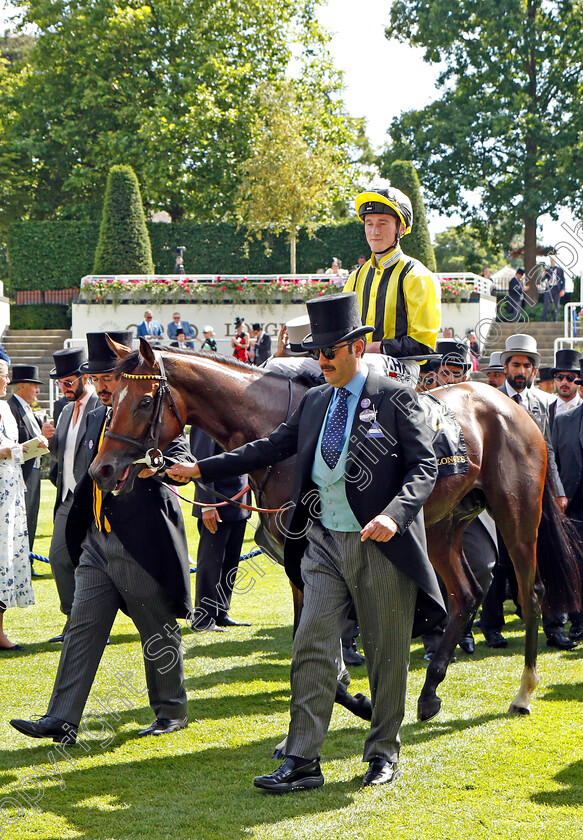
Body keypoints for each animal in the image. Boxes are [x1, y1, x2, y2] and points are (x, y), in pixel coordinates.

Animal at [89, 340, 580, 720]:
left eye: (145, 401)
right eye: (110, 401)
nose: (102, 469)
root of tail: (512, 407)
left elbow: (316, 638)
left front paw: (357, 698)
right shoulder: (298, 559)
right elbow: (309, 637)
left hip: (517, 517)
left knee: (532, 591)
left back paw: (524, 691)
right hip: (442, 527)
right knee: (465, 594)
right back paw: (429, 692)